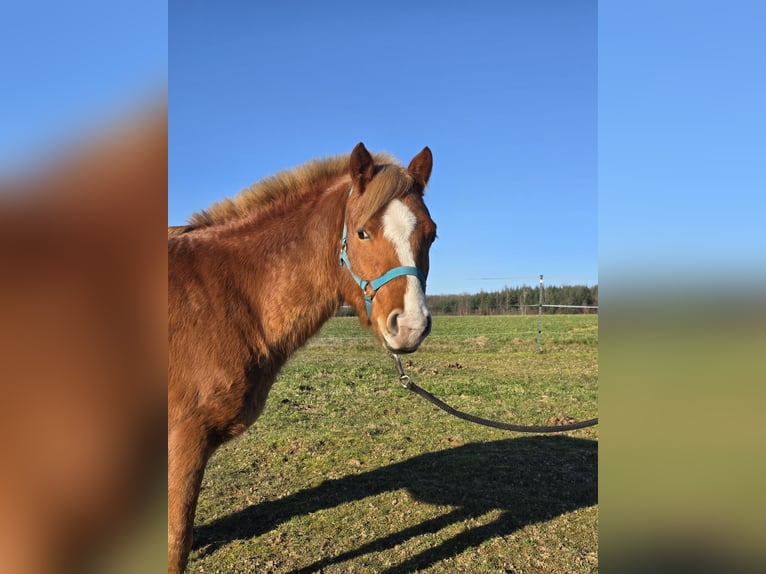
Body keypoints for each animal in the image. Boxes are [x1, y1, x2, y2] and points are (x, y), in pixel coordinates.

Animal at [168, 142, 436, 573]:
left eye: (431, 235)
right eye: (362, 232)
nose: (410, 325)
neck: (222, 296)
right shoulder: (184, 438)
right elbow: (177, 543)